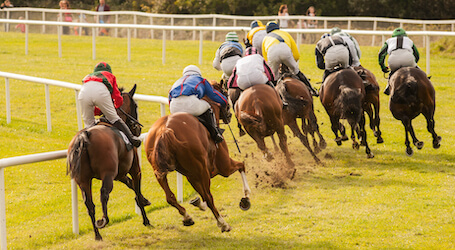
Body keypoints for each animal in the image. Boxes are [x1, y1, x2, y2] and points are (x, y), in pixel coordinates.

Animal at [67, 85, 151, 241]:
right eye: (136, 106)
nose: (138, 129)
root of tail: (84, 136)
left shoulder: (120, 174)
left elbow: (130, 184)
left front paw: (144, 200)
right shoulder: (134, 168)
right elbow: (136, 187)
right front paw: (146, 219)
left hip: (82, 180)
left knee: (89, 204)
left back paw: (97, 234)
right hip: (107, 173)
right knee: (104, 193)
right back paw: (103, 220)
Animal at [146, 81, 251, 233]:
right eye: (225, 93)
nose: (230, 114)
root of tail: (164, 130)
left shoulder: (192, 174)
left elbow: (200, 195)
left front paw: (197, 203)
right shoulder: (223, 166)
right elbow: (241, 165)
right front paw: (246, 197)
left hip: (160, 172)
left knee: (170, 197)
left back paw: (187, 217)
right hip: (202, 169)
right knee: (208, 196)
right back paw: (222, 223)